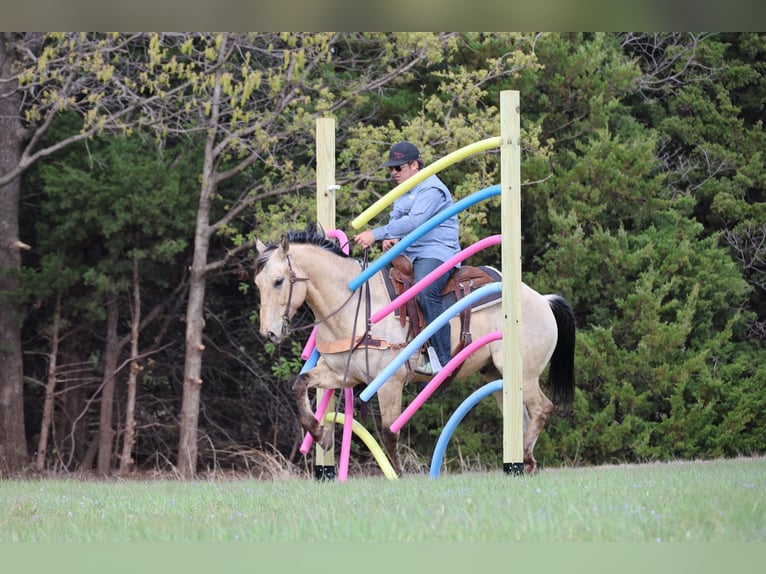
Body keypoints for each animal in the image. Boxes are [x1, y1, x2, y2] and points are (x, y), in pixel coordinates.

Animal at [254, 225, 575, 475]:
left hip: (525, 375)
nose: (269, 333)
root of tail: (542, 300)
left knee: (542, 409)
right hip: (497, 376)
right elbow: (299, 384)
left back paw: (524, 457)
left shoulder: (389, 383)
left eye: (279, 281)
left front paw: (397, 474)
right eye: (258, 282)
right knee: (521, 415)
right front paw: (320, 434)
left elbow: (389, 431)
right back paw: (524, 462)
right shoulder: (340, 374)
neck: (355, 303)